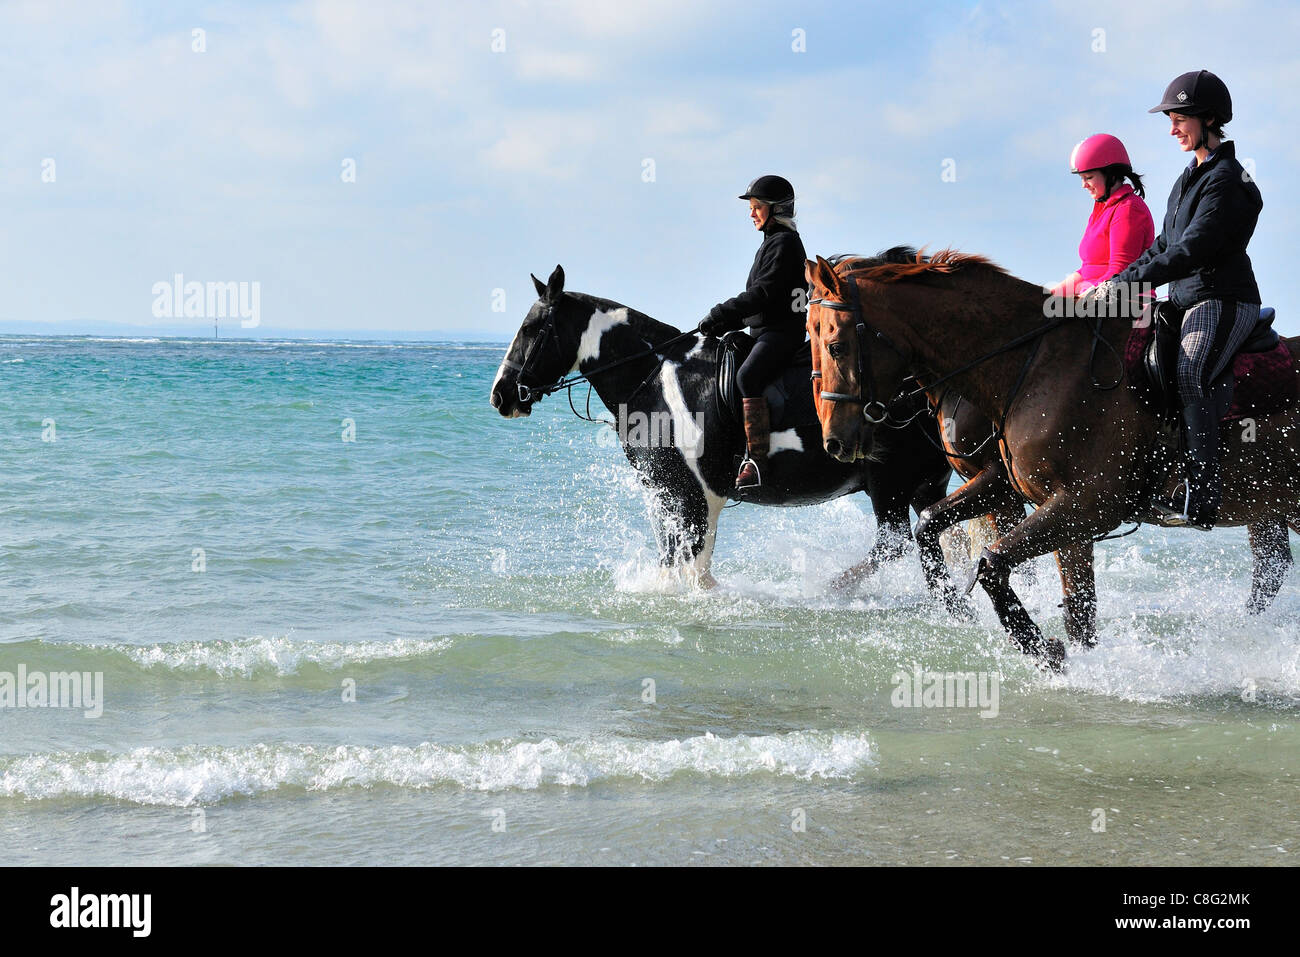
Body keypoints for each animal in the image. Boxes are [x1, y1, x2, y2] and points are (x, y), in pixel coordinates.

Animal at [488, 265, 967, 600]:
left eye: (531, 329)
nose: (500, 395)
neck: (653, 377)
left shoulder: (695, 496)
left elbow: (695, 570)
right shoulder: (664, 492)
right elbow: (670, 561)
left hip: (888, 482)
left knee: (894, 544)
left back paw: (824, 590)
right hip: (924, 482)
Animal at [806, 247, 1294, 665]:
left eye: (835, 346)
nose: (834, 442)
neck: (1032, 365)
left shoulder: (1082, 506)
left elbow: (993, 564)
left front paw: (1043, 649)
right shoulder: (1034, 498)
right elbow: (935, 527)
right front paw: (959, 607)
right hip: (1272, 507)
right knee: (1270, 571)